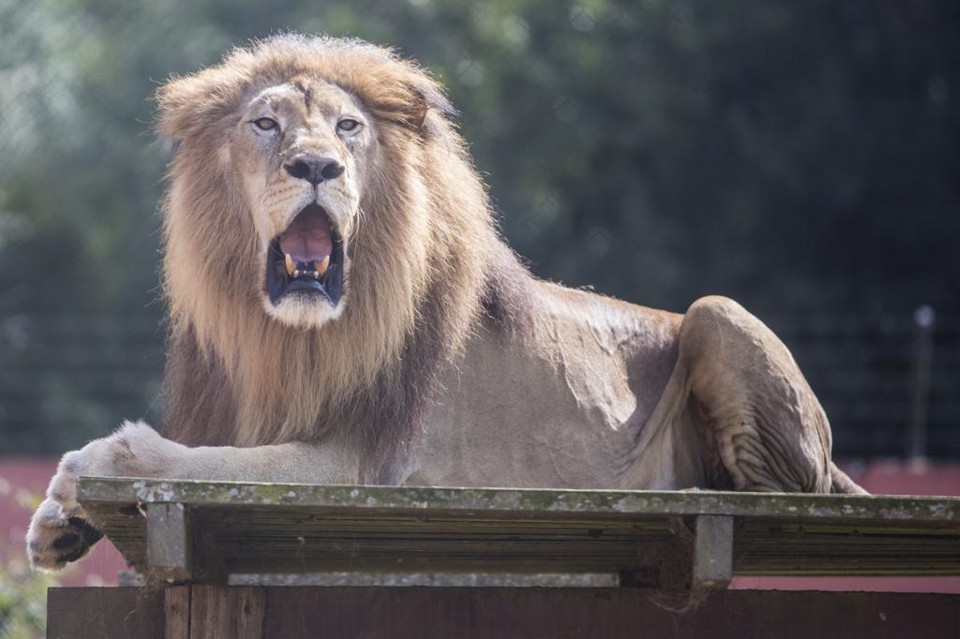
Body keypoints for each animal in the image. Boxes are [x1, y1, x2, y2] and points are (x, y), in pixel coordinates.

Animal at [28, 34, 864, 571]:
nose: (317, 165)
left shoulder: (356, 464)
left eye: (348, 126)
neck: (287, 338)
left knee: (779, 494)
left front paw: (87, 465)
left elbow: (182, 457)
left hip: (720, 314)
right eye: (265, 123)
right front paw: (57, 522)